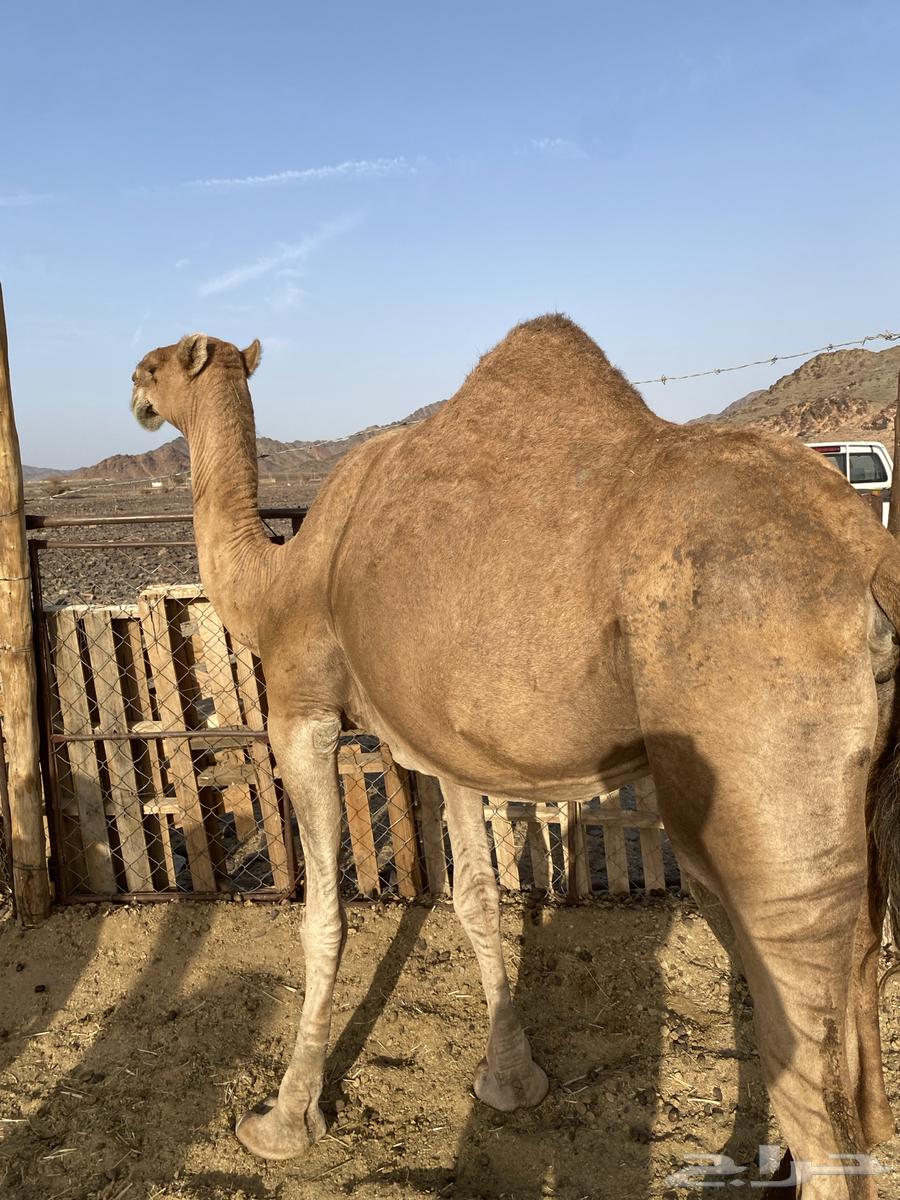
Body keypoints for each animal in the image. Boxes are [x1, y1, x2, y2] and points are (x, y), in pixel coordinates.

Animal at [132, 317, 900, 1198]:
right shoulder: (443, 741)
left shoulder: (301, 710)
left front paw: (282, 1122)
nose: (135, 394)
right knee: (856, 987)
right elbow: (476, 896)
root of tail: (868, 557)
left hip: (762, 785)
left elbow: (323, 916)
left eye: (155, 364)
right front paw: (510, 1080)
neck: (278, 577)